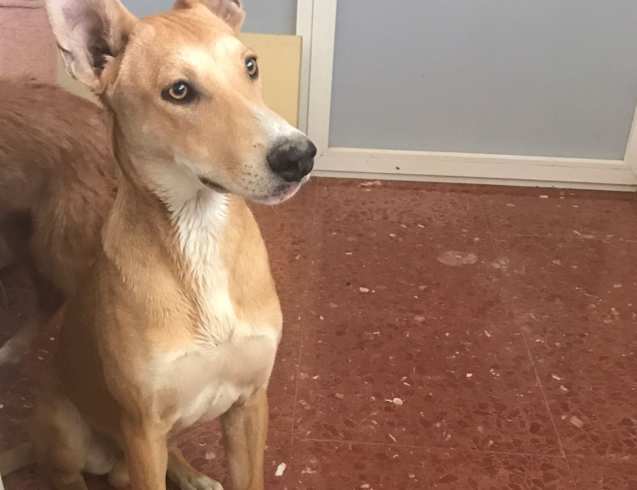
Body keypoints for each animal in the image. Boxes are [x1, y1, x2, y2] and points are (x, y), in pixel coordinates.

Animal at [30, 1, 315, 489]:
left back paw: (193, 475)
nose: (299, 156)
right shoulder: (143, 429)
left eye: (250, 65)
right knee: (68, 475)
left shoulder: (251, 403)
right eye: (179, 91)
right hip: (64, 426)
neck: (200, 231)